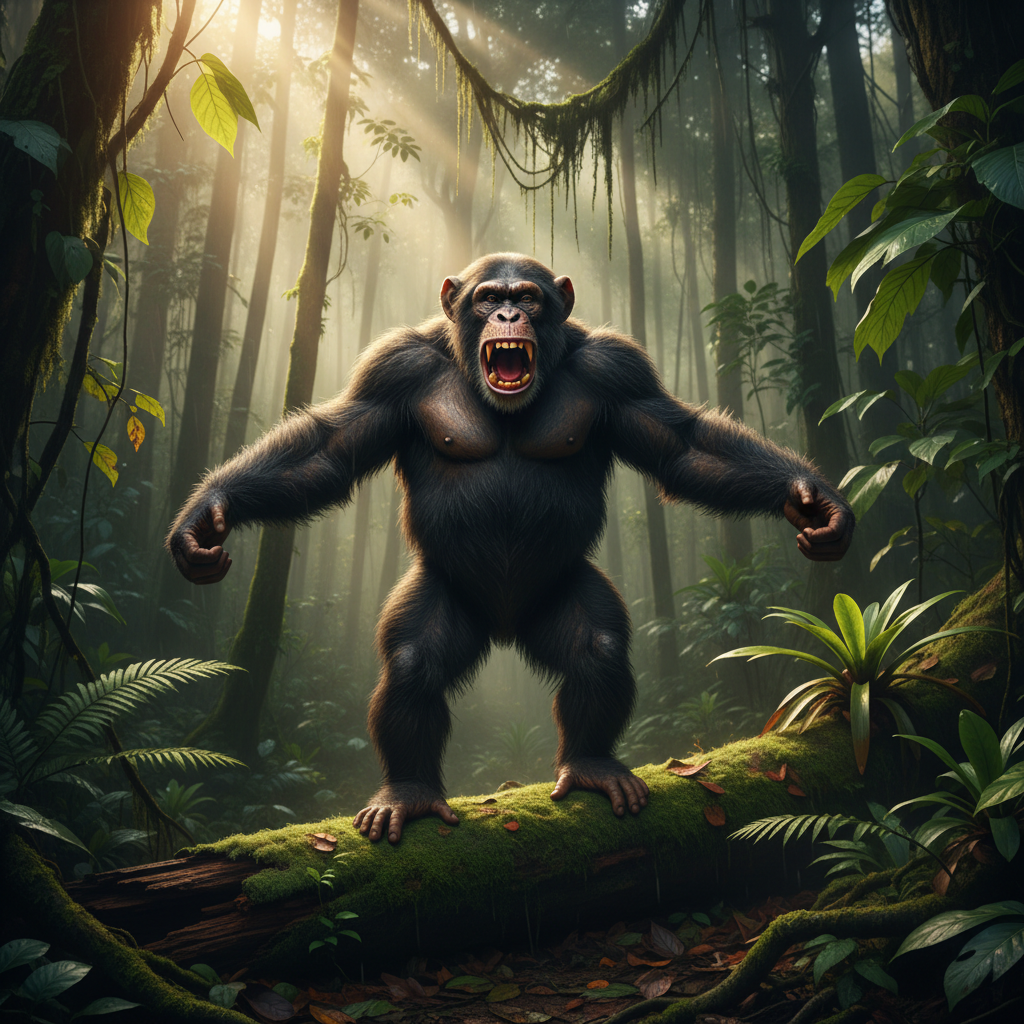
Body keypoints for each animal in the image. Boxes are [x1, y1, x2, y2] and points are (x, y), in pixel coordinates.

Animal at [168, 252, 854, 843]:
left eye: (526, 297)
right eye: (487, 298)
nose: (506, 318)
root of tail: (502, 627)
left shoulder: (620, 369)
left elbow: (683, 445)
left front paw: (812, 498)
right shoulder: (392, 369)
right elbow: (329, 448)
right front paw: (206, 516)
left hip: (559, 592)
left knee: (596, 649)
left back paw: (590, 764)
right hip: (449, 596)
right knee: (413, 662)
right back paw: (410, 791)